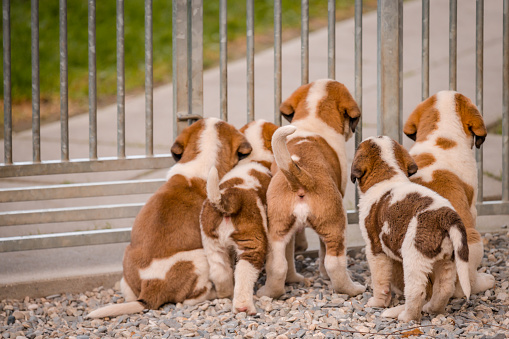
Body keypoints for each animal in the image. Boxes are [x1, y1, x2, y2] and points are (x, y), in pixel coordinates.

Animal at [89, 117, 254, 318]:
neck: (202, 160)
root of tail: (150, 289)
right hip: (199, 258)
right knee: (189, 299)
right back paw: (212, 294)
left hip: (128, 261)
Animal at [199, 119, 278, 316]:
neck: (255, 157)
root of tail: (229, 199)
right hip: (253, 243)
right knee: (244, 273)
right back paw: (244, 306)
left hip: (211, 243)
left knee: (220, 272)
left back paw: (225, 295)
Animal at [256, 79, 364, 300]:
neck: (313, 116)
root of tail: (301, 176)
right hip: (335, 224)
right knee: (333, 262)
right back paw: (352, 289)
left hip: (278, 227)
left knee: (278, 264)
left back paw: (269, 292)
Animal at [352, 135, 470, 322]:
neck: (387, 176)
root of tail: (445, 215)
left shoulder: (374, 249)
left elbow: (380, 279)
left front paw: (377, 302)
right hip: (448, 259)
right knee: (444, 288)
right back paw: (433, 309)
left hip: (414, 258)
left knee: (416, 291)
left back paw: (406, 316)